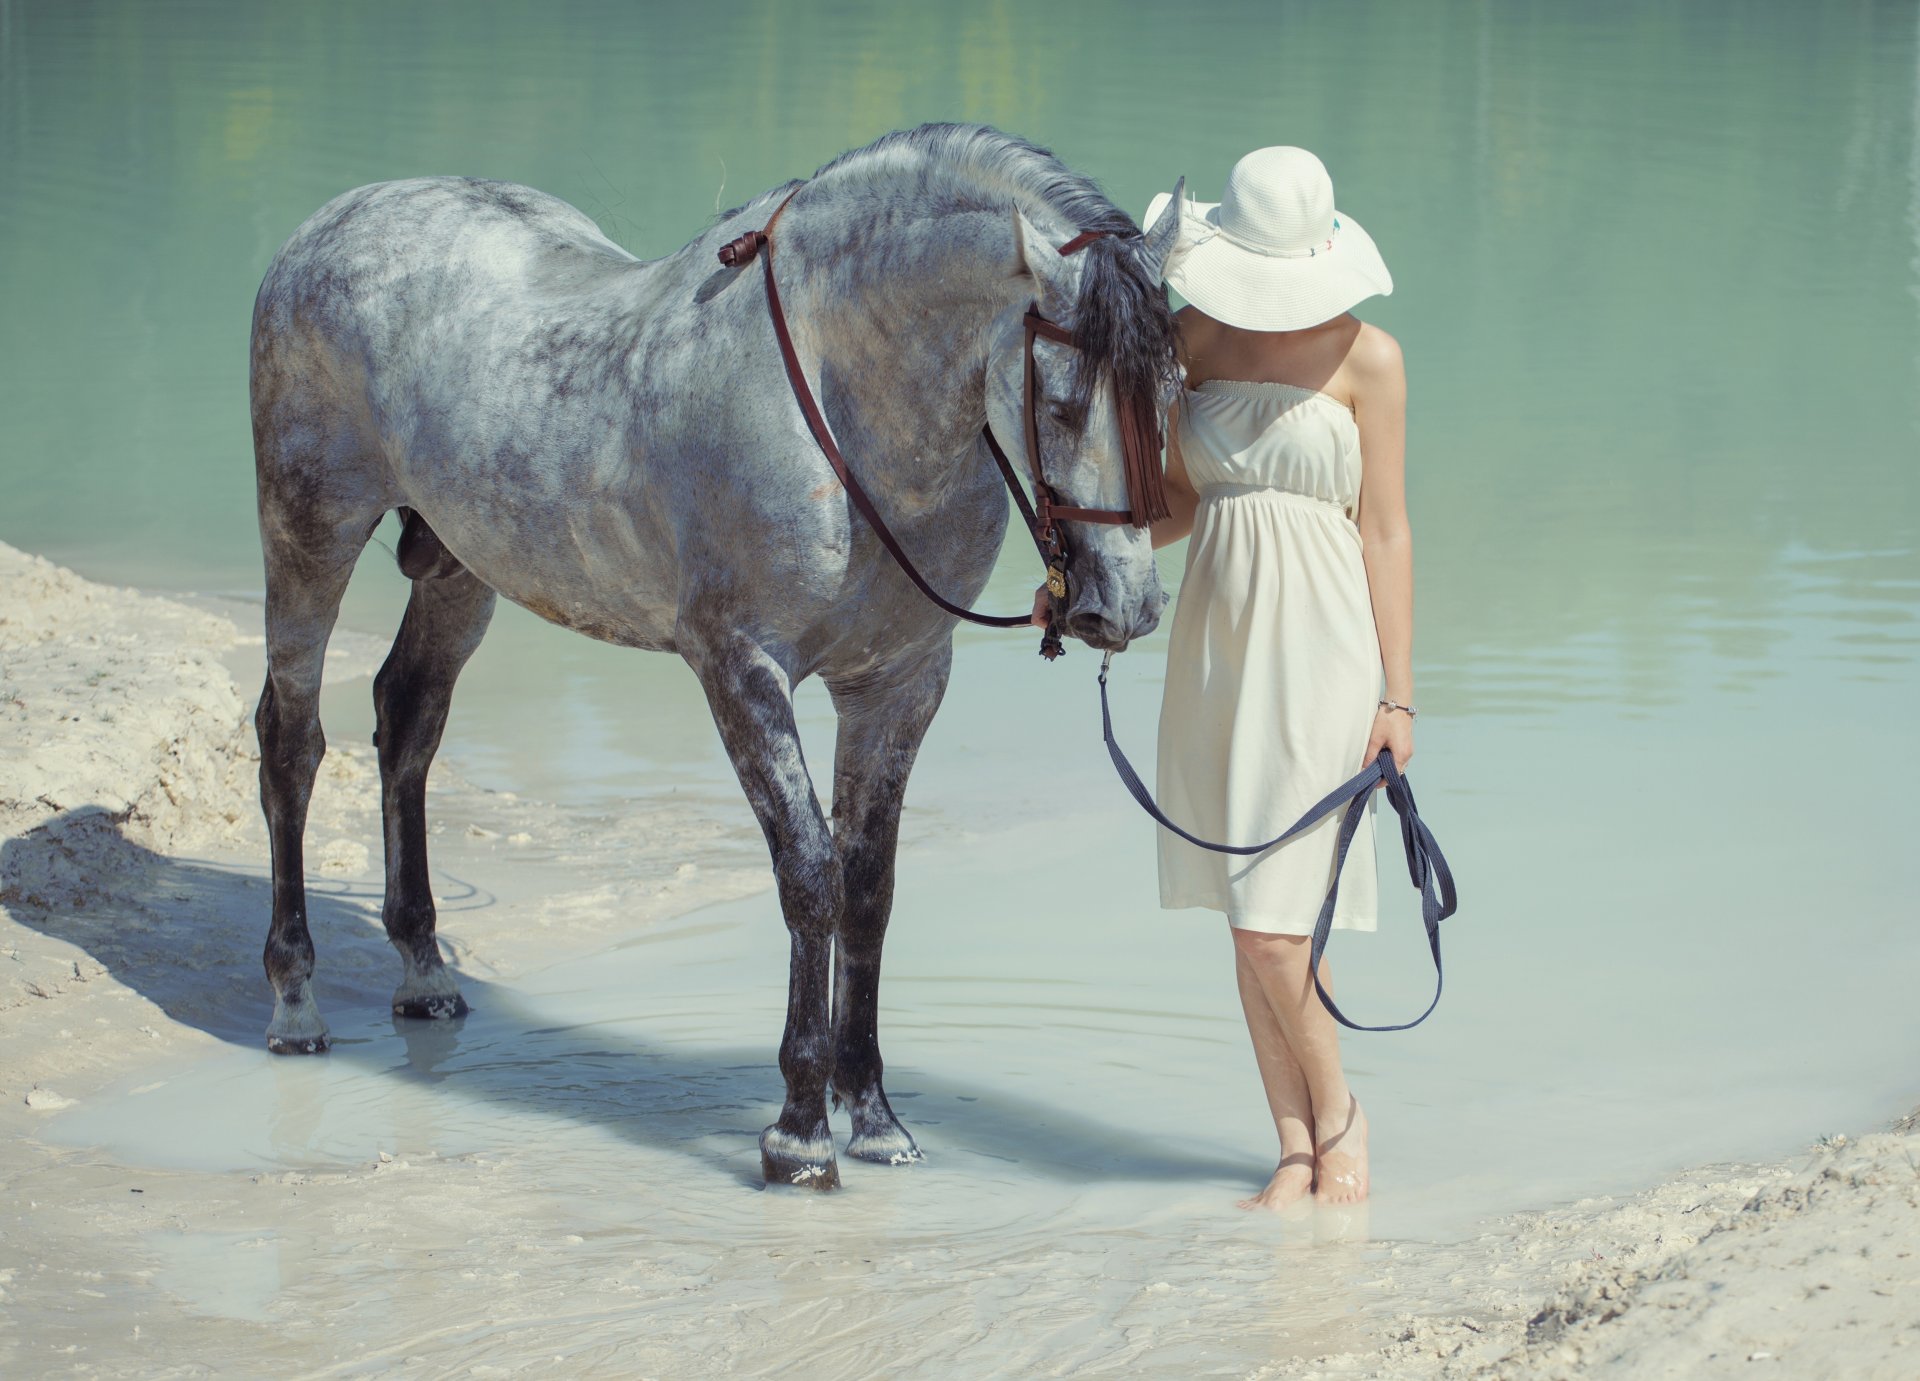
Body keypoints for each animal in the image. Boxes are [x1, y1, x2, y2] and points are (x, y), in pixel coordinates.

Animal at [249, 123, 1183, 1189]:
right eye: (1062, 404)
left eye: (1172, 393)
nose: (1128, 606)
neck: (837, 402)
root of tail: (331, 224)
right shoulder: (741, 670)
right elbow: (810, 876)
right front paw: (799, 1133)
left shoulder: (898, 684)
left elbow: (869, 887)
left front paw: (874, 1117)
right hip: (308, 537)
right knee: (291, 743)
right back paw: (294, 1002)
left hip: (458, 570)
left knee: (407, 723)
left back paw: (424, 971)